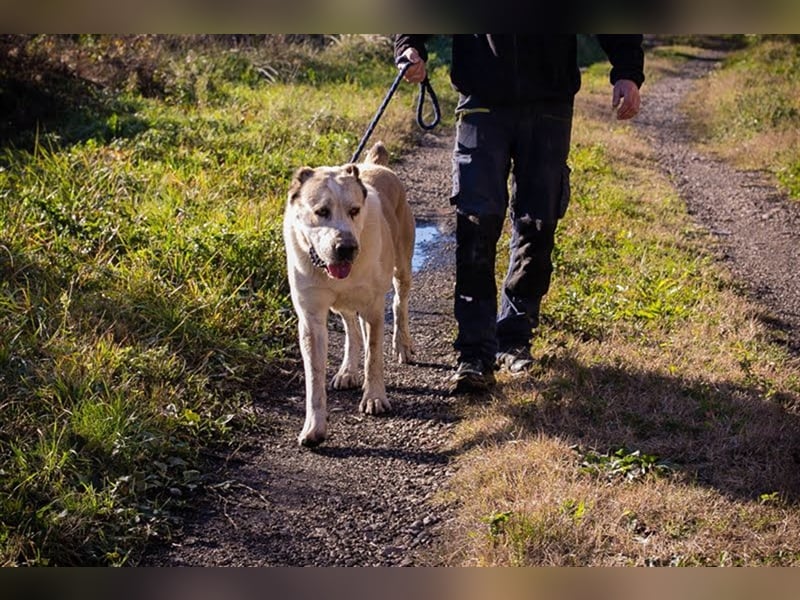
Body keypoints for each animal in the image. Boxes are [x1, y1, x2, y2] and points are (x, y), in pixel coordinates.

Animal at [284, 143, 416, 448]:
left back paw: (402, 344)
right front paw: (314, 427)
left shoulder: (373, 306)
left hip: (402, 265)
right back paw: (347, 371)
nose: (346, 247)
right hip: (342, 304)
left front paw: (375, 398)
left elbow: (374, 356)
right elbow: (314, 378)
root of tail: (375, 165)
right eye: (321, 211)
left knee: (399, 303)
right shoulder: (311, 319)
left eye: (354, 210)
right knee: (352, 327)